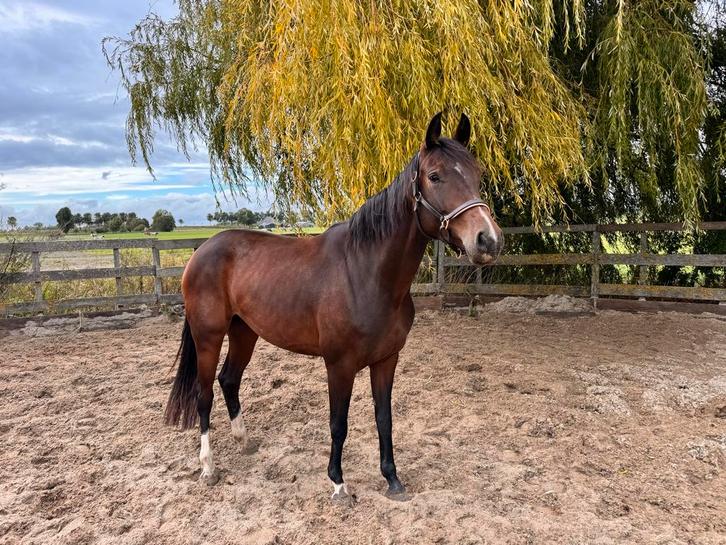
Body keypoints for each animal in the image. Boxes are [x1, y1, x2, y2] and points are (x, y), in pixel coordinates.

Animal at [165, 112, 504, 501]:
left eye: (478, 174)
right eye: (434, 176)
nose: (488, 240)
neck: (366, 274)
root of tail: (201, 252)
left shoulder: (386, 360)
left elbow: (384, 418)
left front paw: (392, 479)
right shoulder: (339, 365)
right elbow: (338, 423)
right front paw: (338, 483)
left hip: (244, 332)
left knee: (229, 380)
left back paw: (244, 441)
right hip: (208, 335)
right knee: (203, 394)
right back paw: (208, 467)